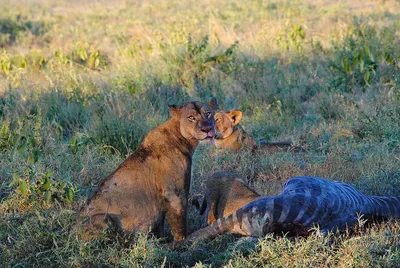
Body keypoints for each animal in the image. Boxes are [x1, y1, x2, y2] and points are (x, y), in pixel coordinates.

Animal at [78, 98, 219, 241]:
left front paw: (161, 240)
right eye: (191, 117)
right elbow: (179, 223)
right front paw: (181, 241)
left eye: (208, 114)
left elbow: (161, 225)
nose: (207, 129)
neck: (182, 138)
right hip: (102, 218)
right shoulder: (175, 193)